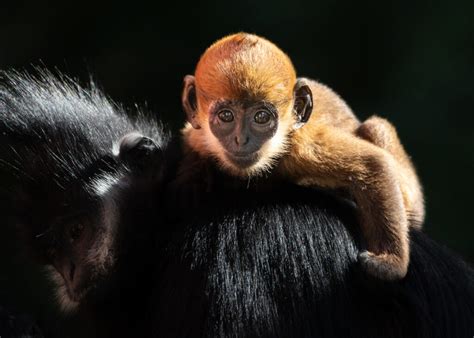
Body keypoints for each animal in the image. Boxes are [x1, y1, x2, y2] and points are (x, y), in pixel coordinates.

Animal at [182, 33, 426, 280]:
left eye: (261, 117)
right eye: (226, 116)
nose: (241, 139)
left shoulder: (301, 145)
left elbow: (372, 164)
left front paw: (390, 262)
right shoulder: (198, 138)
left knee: (375, 126)